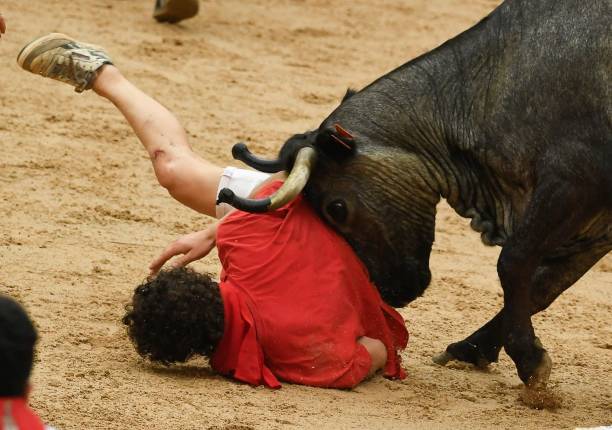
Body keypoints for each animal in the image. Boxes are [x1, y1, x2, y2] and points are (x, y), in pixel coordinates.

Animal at [218, 0, 608, 390]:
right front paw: (472, 350)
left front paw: (529, 362)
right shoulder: (593, 225)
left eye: (337, 208)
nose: (392, 293)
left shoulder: (571, 182)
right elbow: (542, 284)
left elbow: (513, 263)